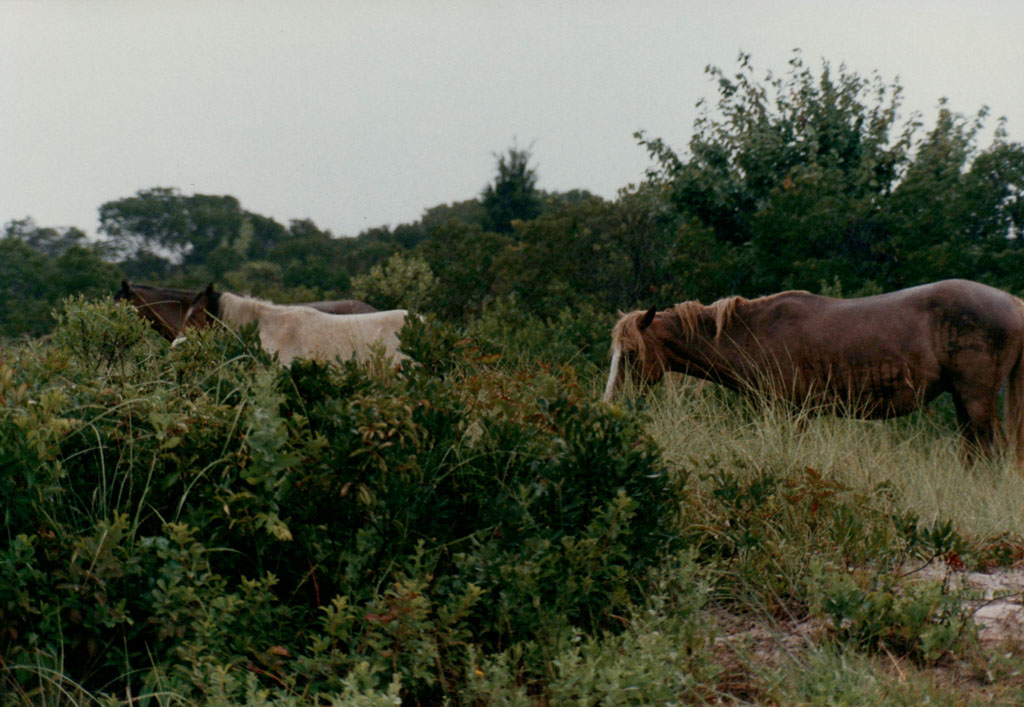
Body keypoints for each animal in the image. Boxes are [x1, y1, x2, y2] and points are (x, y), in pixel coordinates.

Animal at [602, 278, 1024, 459]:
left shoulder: (790, 413)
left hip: (975, 400)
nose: (610, 405)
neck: (756, 332)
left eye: (631, 354)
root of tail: (1013, 302)